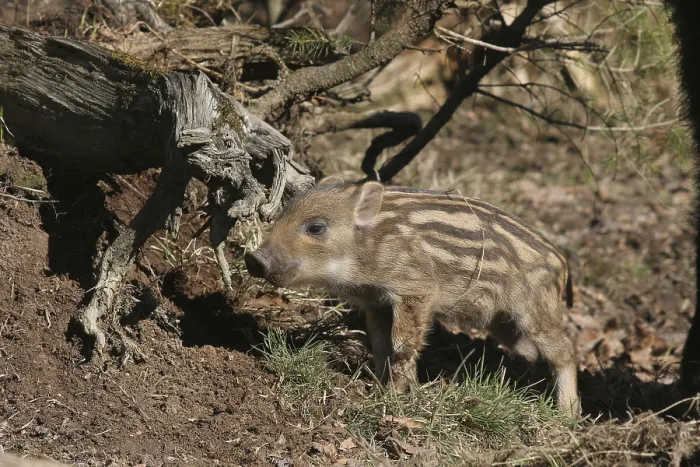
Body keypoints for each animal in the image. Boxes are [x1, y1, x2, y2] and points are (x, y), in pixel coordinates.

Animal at [244, 177, 580, 417]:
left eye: (316, 227)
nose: (253, 258)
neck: (368, 248)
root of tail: (563, 264)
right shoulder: (375, 300)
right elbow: (380, 342)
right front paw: (378, 384)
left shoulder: (416, 290)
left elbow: (402, 344)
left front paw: (395, 394)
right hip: (504, 323)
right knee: (533, 353)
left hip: (534, 310)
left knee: (564, 351)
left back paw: (567, 415)